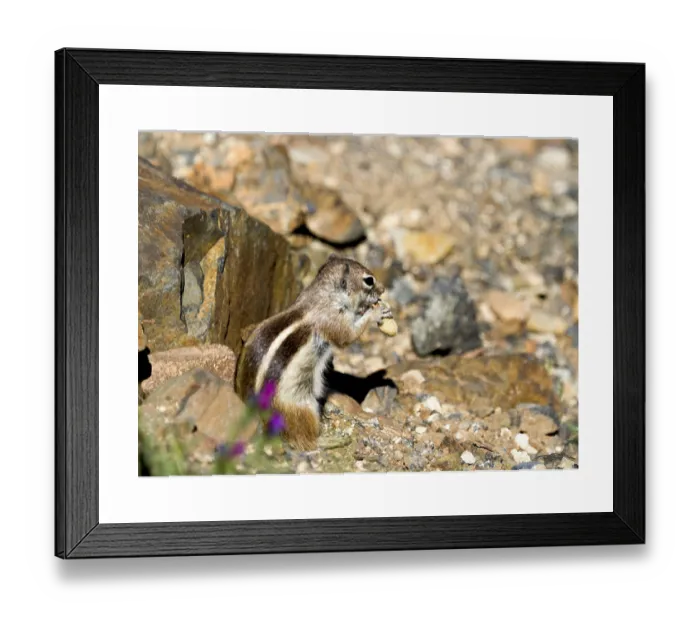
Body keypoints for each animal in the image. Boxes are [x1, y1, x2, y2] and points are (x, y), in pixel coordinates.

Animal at [234, 254, 396, 451]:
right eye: (369, 280)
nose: (383, 289)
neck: (324, 294)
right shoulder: (332, 320)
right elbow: (347, 336)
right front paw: (376, 313)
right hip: (301, 408)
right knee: (303, 440)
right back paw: (331, 439)